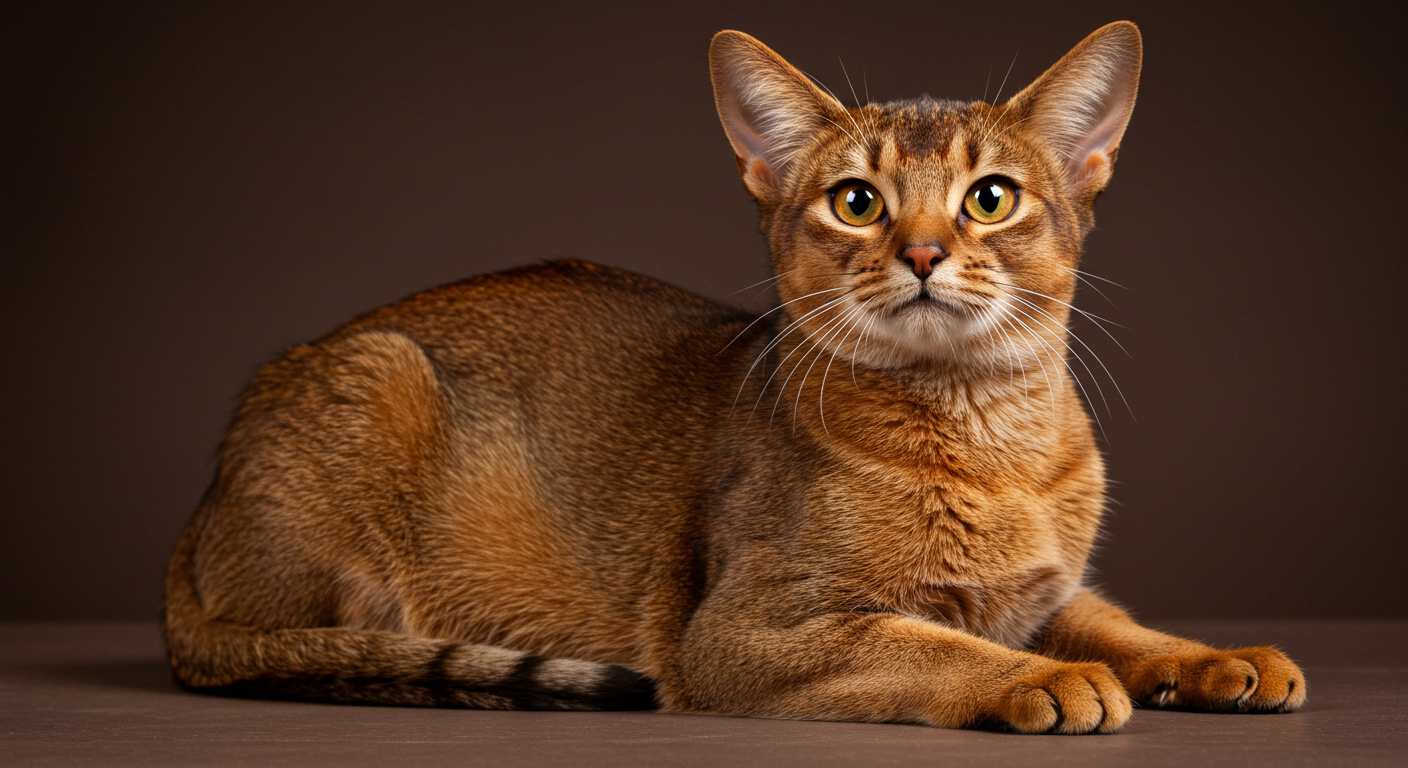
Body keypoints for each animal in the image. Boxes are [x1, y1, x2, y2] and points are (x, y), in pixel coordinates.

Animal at [164, 22, 1306, 732]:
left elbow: (1110, 619)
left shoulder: (1044, 587)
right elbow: (933, 644)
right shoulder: (744, 634)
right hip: (383, 379)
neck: (989, 444)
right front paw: (1051, 679)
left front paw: (1217, 658)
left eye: (990, 198)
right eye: (855, 201)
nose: (924, 252)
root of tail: (195, 524)